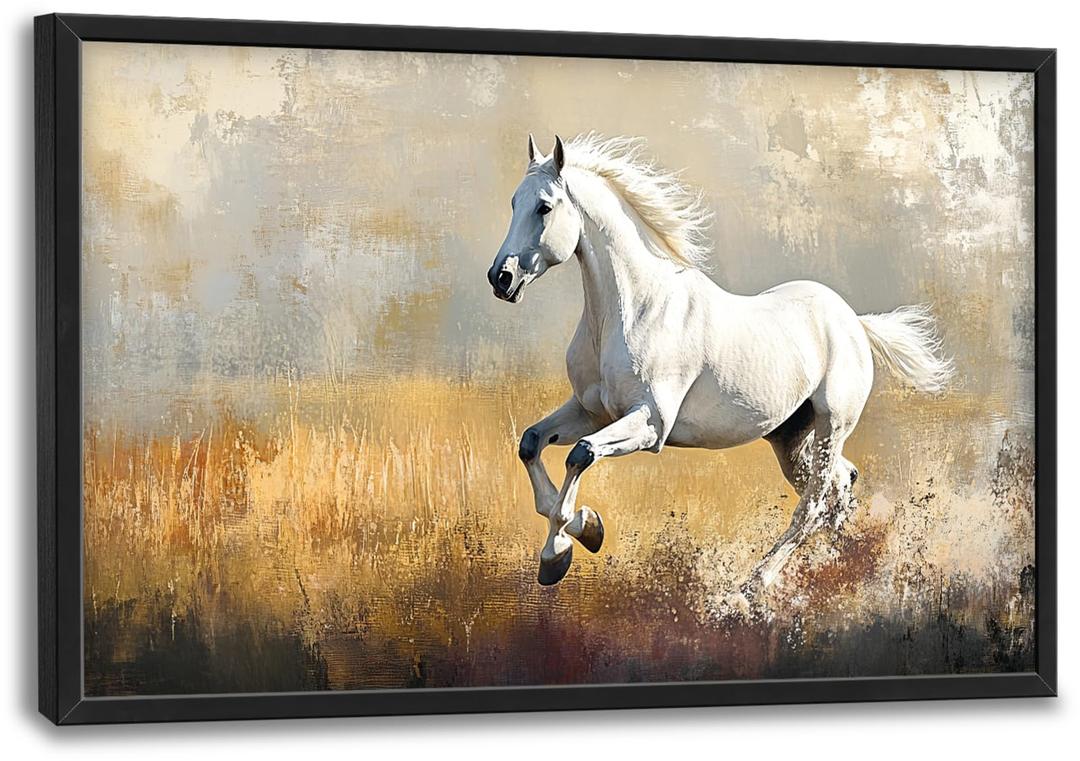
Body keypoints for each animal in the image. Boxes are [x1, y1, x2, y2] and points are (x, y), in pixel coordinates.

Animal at [487, 133, 953, 596]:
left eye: (544, 206)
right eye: (512, 202)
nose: (500, 278)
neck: (633, 310)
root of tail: (854, 321)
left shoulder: (650, 423)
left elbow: (580, 455)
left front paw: (564, 546)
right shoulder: (590, 410)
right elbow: (531, 443)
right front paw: (577, 538)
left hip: (830, 426)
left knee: (813, 503)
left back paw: (751, 589)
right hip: (790, 437)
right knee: (839, 485)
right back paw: (840, 565)